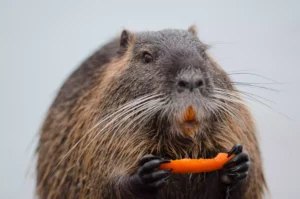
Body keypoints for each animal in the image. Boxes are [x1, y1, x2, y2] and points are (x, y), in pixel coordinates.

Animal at [36, 25, 266, 198]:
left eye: (203, 52)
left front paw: (238, 164)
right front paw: (147, 173)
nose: (191, 80)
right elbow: (107, 183)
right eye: (146, 56)